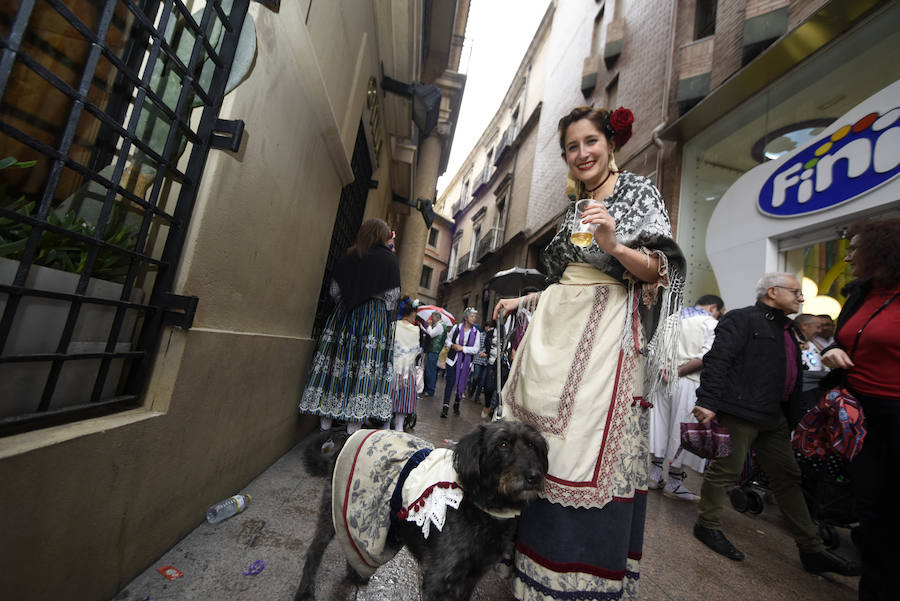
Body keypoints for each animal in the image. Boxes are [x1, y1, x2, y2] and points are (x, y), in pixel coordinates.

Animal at [296, 420, 548, 600]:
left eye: (533, 446)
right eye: (502, 444)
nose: (534, 477)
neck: (483, 508)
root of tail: (350, 437)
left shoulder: (469, 578)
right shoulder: (438, 579)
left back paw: (354, 574)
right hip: (335, 508)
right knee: (314, 551)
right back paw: (305, 592)